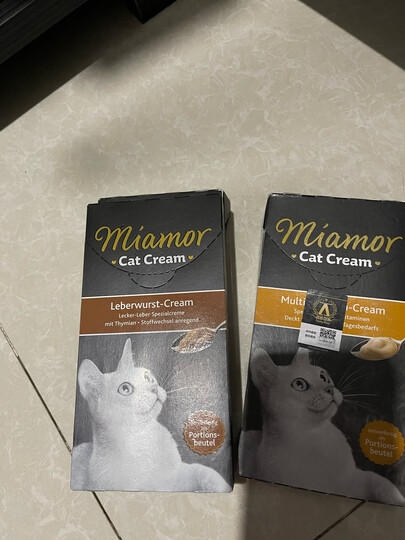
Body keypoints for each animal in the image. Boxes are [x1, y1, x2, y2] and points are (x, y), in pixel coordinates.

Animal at [71, 338, 230, 492]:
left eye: (147, 377)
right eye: (125, 388)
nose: (154, 388)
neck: (143, 439)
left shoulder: (178, 475)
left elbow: (202, 470)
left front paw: (221, 487)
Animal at [239, 347, 404, 505]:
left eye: (323, 377)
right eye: (299, 384)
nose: (329, 389)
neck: (317, 438)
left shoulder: (355, 479)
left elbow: (385, 485)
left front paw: (399, 502)